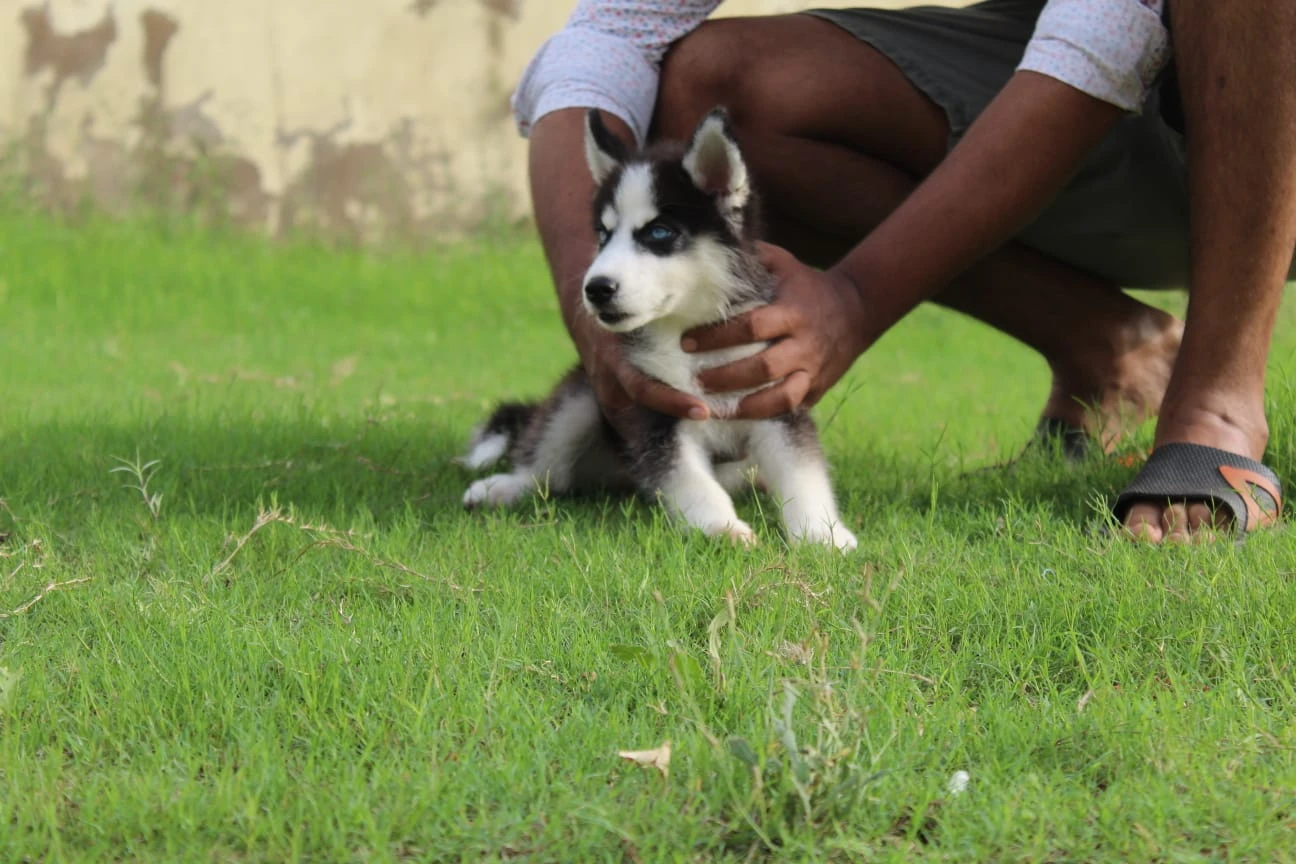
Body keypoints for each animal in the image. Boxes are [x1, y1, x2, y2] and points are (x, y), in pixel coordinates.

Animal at [461, 110, 855, 554]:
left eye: (659, 233)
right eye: (603, 235)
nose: (595, 289)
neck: (687, 333)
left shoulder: (775, 399)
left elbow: (802, 473)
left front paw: (822, 533)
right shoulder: (655, 411)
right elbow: (693, 481)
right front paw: (722, 528)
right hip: (583, 396)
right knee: (547, 470)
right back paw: (502, 488)